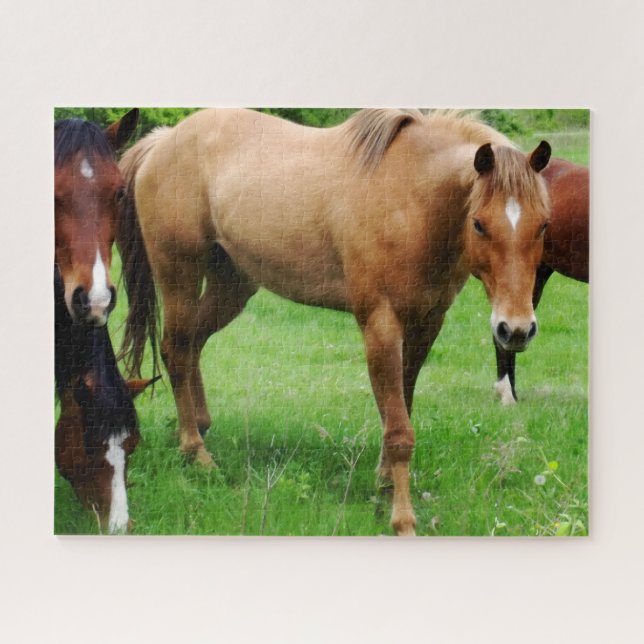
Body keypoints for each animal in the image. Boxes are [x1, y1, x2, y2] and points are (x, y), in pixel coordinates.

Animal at [117, 108, 551, 536]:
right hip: (179, 274)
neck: (409, 198)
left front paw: (384, 485)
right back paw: (196, 451)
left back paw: (199, 428)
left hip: (232, 285)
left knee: (192, 344)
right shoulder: (380, 325)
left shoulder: (427, 324)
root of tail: (163, 141)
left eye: (543, 224)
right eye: (479, 223)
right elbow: (398, 430)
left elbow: (401, 407)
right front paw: (402, 519)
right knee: (176, 349)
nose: (515, 329)